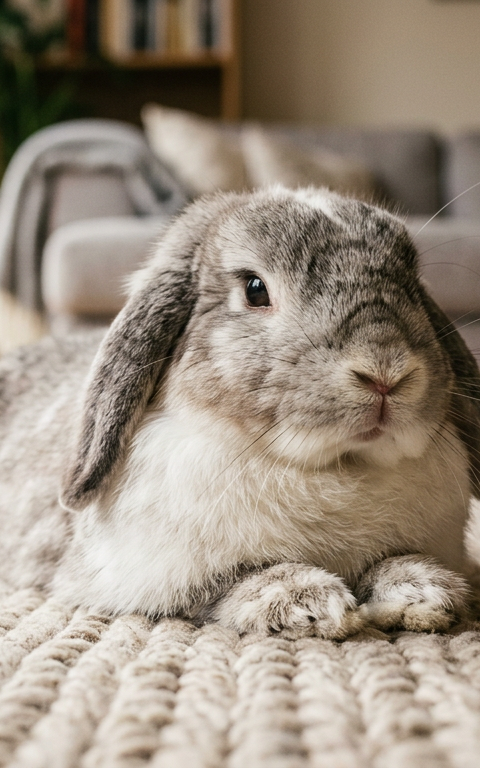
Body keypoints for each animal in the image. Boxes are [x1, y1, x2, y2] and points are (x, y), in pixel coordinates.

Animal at [0, 185, 479, 640]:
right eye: (255, 289)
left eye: (413, 284)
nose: (385, 374)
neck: (336, 467)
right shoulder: (146, 576)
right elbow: (229, 584)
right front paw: (309, 602)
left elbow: (395, 561)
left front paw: (422, 592)